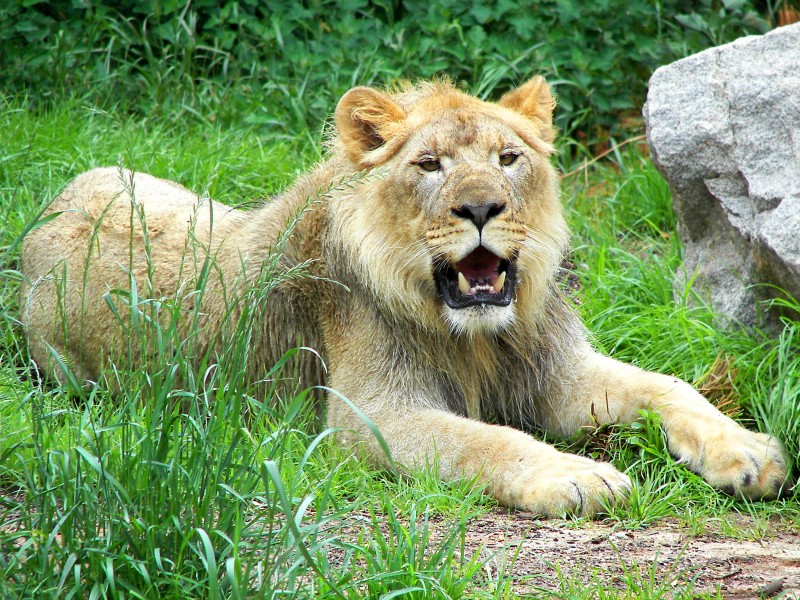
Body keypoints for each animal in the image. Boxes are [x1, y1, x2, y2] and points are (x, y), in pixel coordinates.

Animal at [18, 76, 788, 516]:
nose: (480, 206)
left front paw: (750, 453)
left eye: (509, 158)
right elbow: (486, 439)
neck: (479, 337)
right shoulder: (368, 417)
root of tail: (52, 205)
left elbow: (670, 386)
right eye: (429, 164)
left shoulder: (556, 374)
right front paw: (577, 477)